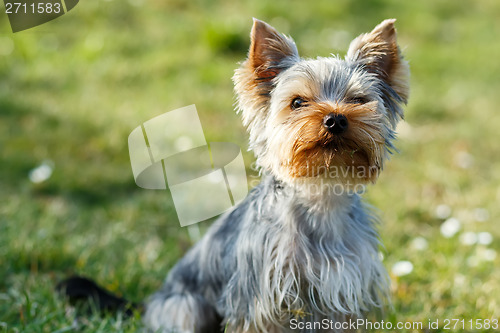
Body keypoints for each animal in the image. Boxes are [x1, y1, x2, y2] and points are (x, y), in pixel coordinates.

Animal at [143, 18, 408, 332]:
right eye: (297, 102)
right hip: (183, 305)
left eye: (357, 99)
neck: (321, 193)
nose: (335, 119)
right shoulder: (261, 299)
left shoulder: (345, 289)